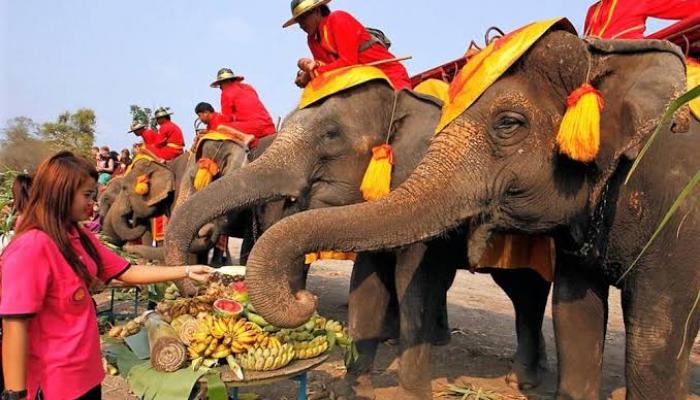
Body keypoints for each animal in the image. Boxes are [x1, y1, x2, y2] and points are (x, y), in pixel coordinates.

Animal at [167, 79, 556, 396]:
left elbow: (414, 282)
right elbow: (367, 281)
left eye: (330, 134)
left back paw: (522, 380)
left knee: (527, 293)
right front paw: (354, 388)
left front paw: (411, 393)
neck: (403, 98)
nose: (305, 299)